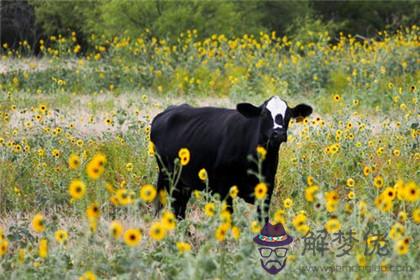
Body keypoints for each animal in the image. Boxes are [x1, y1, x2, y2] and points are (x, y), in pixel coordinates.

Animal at [151, 96, 312, 221]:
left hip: (184, 181)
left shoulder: (267, 189)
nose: (278, 133)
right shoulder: (225, 189)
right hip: (170, 177)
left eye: (288, 115)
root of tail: (167, 111)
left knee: (180, 209)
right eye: (264, 114)